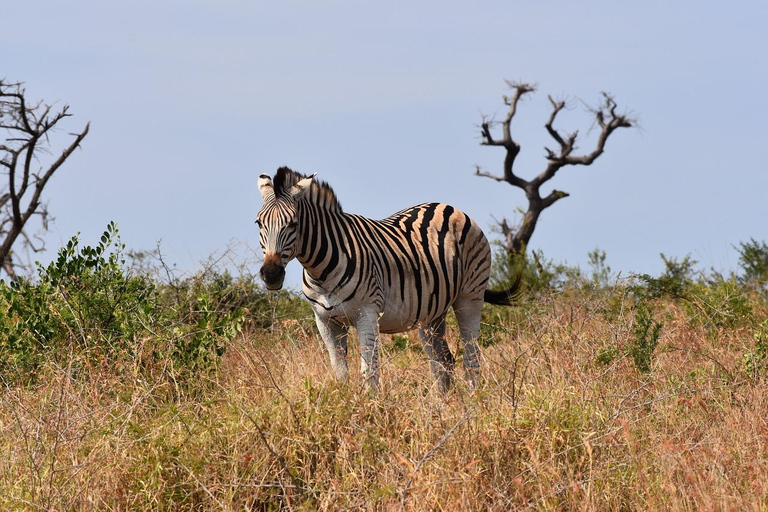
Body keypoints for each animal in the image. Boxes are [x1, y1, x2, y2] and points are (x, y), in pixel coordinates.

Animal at [255, 167, 520, 392]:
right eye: (258, 223)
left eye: (293, 224)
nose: (271, 274)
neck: (321, 272)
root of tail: (449, 207)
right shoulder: (325, 321)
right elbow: (340, 373)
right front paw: (345, 406)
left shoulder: (367, 314)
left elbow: (369, 372)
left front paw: (371, 409)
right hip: (431, 312)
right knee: (442, 361)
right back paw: (444, 407)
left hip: (470, 297)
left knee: (471, 357)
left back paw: (472, 403)